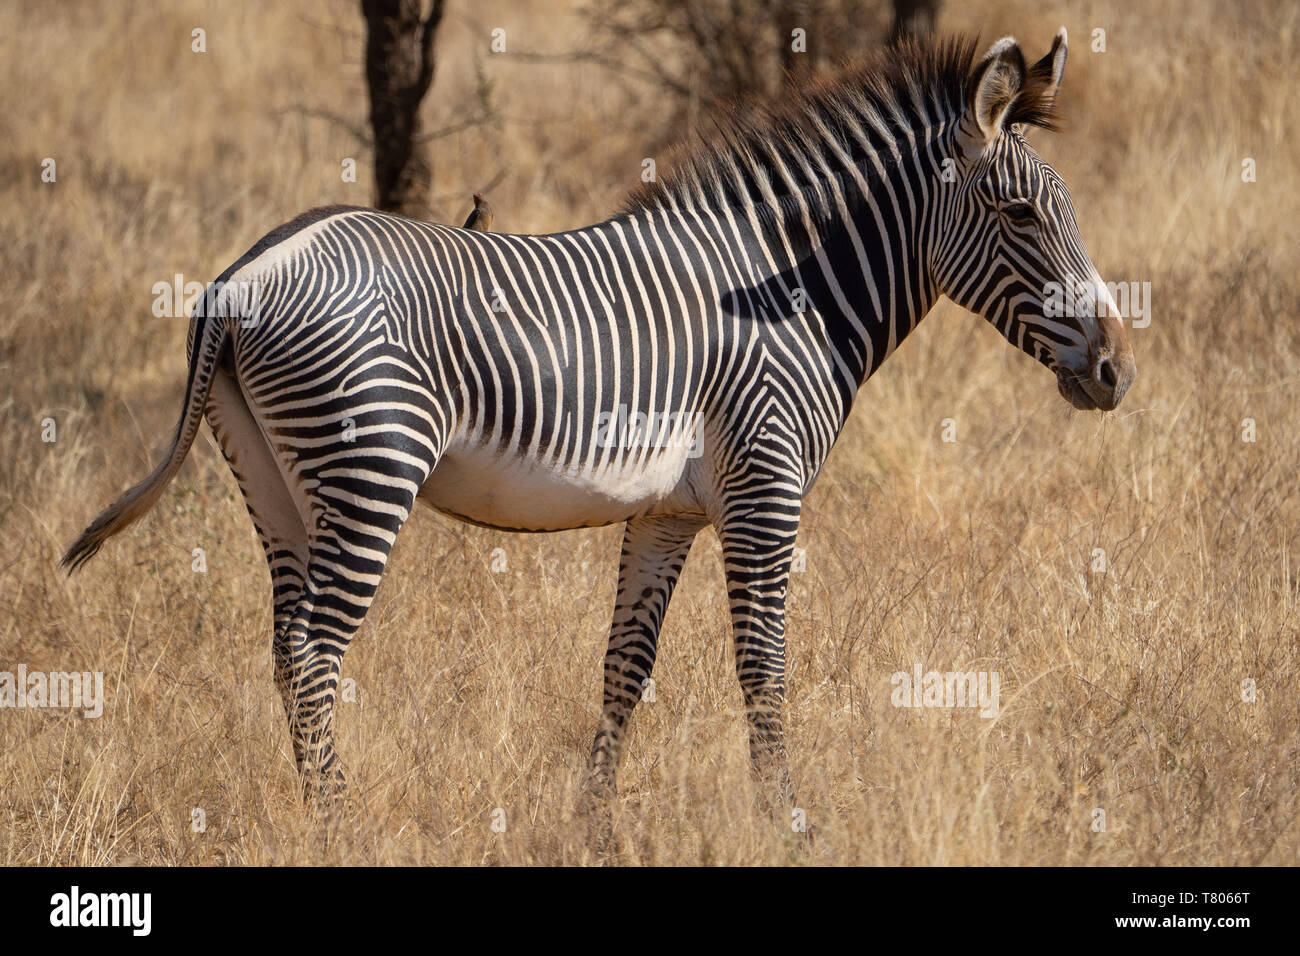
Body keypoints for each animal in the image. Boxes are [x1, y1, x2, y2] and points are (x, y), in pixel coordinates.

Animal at [63, 33, 1138, 816]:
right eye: (1021, 215)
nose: (1118, 372)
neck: (788, 294)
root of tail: (242, 277)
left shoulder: (668, 512)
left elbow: (626, 667)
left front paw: (594, 825)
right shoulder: (765, 489)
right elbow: (764, 666)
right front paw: (784, 822)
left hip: (275, 481)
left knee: (285, 647)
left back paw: (315, 812)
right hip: (370, 466)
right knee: (316, 653)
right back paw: (342, 824)